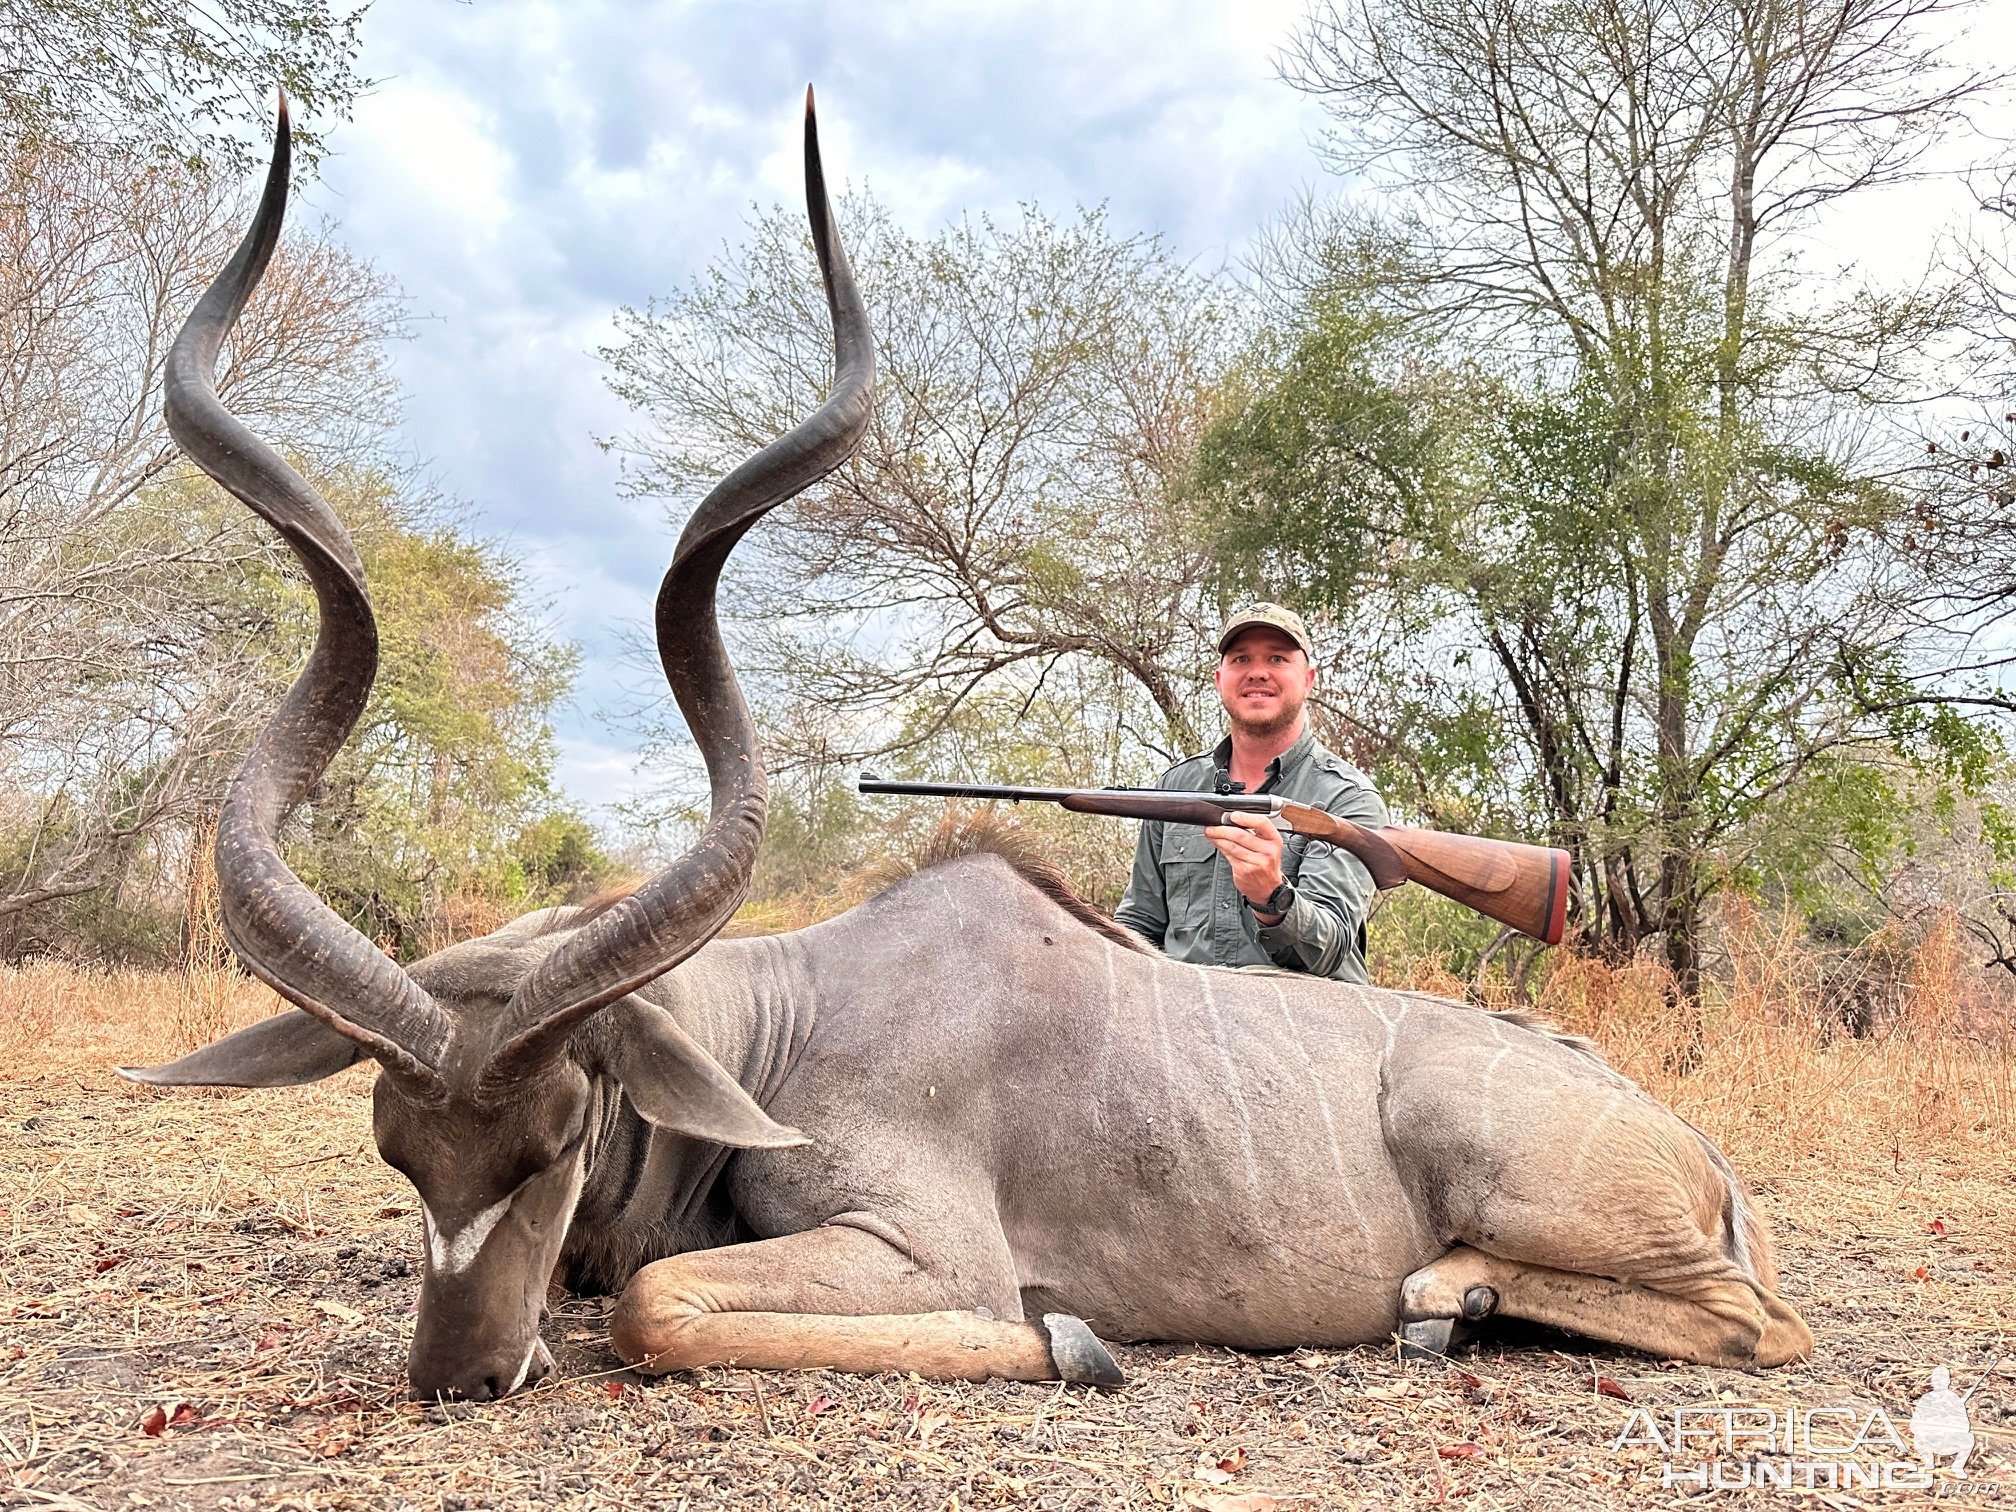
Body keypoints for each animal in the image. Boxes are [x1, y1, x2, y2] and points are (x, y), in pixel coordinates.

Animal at [134, 91, 1822, 1395]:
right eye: (395, 1153)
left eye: (552, 1143)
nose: (460, 1374)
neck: (785, 1027)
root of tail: (1701, 1157)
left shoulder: (920, 1243)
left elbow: (661, 1306)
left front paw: (1074, 1339)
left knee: (1760, 1325)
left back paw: (1439, 1295)